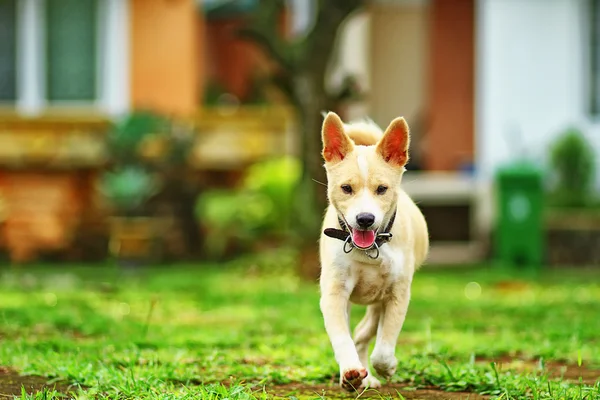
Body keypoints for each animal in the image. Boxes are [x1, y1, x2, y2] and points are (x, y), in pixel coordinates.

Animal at [316, 111, 428, 390]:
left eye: (382, 189)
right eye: (346, 188)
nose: (365, 219)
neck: (369, 249)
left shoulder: (398, 294)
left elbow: (384, 346)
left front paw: (386, 367)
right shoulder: (334, 293)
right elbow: (341, 337)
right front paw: (350, 370)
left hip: (378, 302)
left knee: (365, 332)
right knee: (355, 333)